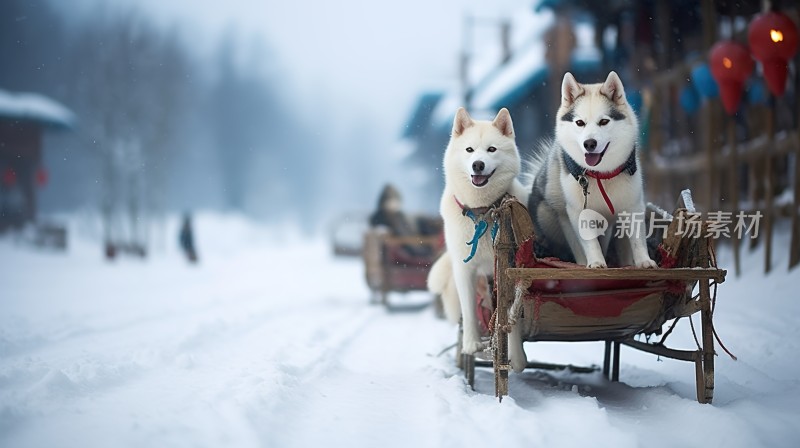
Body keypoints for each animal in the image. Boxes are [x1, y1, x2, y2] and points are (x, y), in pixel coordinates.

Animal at [428, 107, 528, 370]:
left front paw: (516, 356)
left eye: (492, 149)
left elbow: (509, 316)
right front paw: (471, 344)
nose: (478, 164)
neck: (482, 212)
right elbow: (469, 310)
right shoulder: (465, 270)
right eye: (469, 150)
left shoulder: (508, 268)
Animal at [524, 70, 656, 270]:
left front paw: (643, 261)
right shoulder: (579, 211)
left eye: (604, 121)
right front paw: (596, 263)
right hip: (552, 214)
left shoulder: (633, 205)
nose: (589, 143)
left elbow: (637, 239)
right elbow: (590, 243)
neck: (602, 175)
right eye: (580, 123)